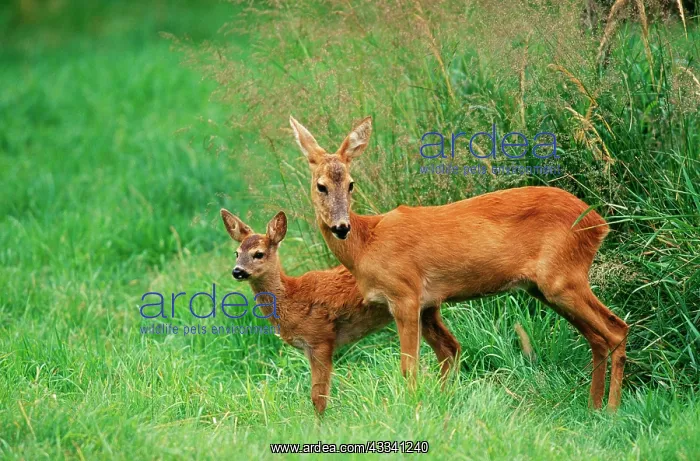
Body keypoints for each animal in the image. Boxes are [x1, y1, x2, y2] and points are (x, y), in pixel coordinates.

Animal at [220, 209, 461, 414]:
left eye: (258, 254)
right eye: (236, 253)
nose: (237, 271)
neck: (291, 297)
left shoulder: (320, 338)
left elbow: (318, 396)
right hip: (427, 309)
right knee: (450, 347)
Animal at [288, 115, 630, 411]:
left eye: (351, 183)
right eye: (321, 185)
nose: (341, 226)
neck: (366, 244)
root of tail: (599, 225)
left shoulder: (405, 294)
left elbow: (409, 366)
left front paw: (413, 408)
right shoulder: (428, 304)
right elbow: (447, 353)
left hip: (562, 279)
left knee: (616, 329)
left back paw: (611, 410)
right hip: (545, 288)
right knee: (598, 338)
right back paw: (593, 407)